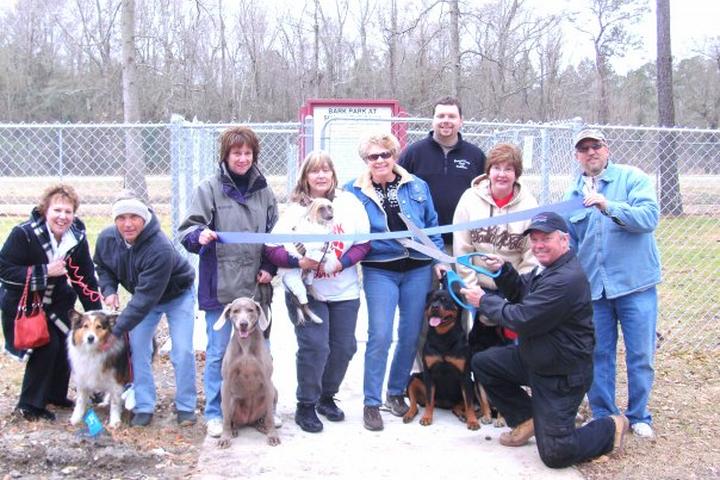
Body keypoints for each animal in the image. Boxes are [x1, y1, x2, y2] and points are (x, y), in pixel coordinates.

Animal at [404, 288, 478, 432]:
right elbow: (429, 400)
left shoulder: (465, 376)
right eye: (432, 300)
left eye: (446, 301)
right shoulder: (428, 374)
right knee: (416, 403)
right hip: (413, 378)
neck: (443, 336)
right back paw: (409, 414)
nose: (435, 307)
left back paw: (463, 415)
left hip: (470, 385)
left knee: (459, 404)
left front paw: (472, 421)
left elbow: (469, 403)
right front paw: (427, 417)